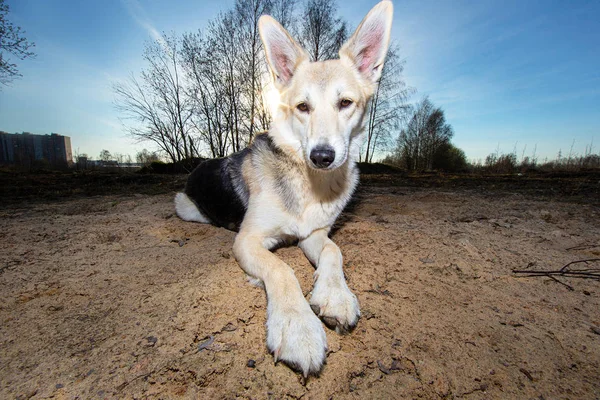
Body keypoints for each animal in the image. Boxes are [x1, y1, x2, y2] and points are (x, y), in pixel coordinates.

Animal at [175, 0, 394, 376]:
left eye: (346, 103)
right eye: (302, 107)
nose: (322, 156)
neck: (310, 184)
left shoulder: (314, 235)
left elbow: (334, 251)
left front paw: (335, 295)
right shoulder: (248, 241)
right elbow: (282, 268)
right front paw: (297, 325)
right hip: (185, 206)